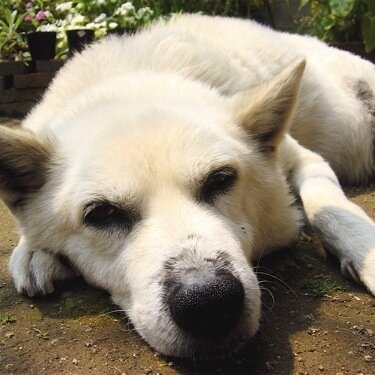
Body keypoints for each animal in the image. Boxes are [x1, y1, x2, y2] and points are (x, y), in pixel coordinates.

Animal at [2, 13, 375, 362]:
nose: (208, 303)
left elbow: (327, 209)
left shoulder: (306, 159)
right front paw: (34, 252)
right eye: (102, 213)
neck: (131, 80)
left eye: (221, 179)